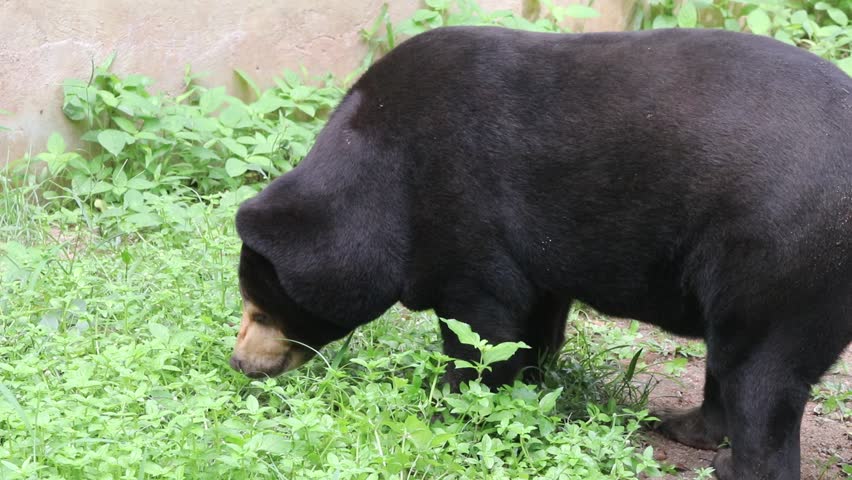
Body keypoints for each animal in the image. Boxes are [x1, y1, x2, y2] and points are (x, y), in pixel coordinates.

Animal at [229, 26, 852, 480]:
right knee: (731, 364)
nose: (240, 364)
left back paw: (731, 463)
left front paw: (450, 405)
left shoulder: (463, 216)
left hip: (782, 257)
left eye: (260, 309)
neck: (373, 169)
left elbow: (482, 326)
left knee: (761, 377)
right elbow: (536, 318)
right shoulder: (538, 255)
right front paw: (527, 384)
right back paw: (684, 428)